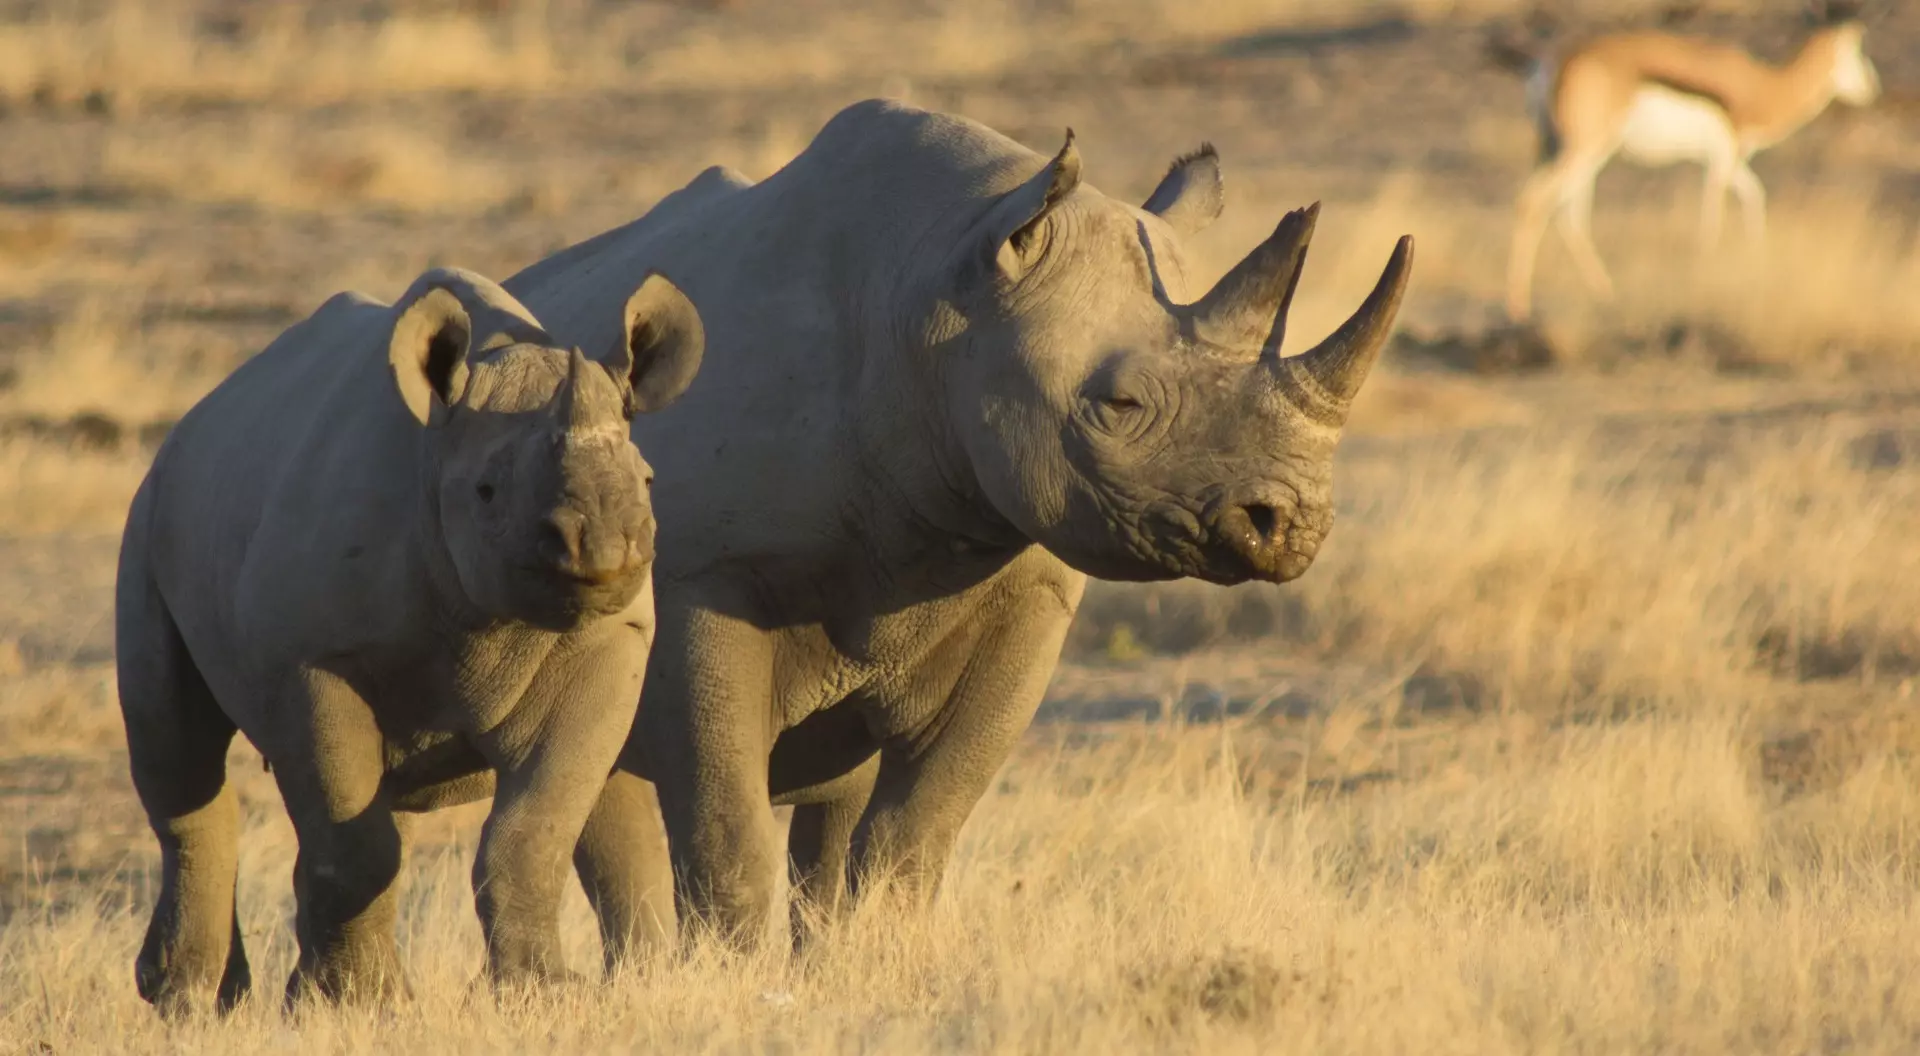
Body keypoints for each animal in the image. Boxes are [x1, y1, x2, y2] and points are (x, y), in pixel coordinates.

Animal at [114, 266, 703, 1012]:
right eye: (486, 491)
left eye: (649, 480)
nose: (603, 548)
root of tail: (191, 424)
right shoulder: (314, 661)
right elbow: (357, 845)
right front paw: (362, 1004)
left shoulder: (608, 638)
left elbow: (533, 827)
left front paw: (539, 995)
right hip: (148, 515)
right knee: (179, 753)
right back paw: (193, 1001)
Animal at [505, 100, 1412, 954]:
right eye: (1119, 406)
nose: (1291, 526)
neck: (936, 299)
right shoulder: (705, 578)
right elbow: (725, 829)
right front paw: (727, 979)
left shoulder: (1028, 584)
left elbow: (915, 831)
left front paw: (873, 964)